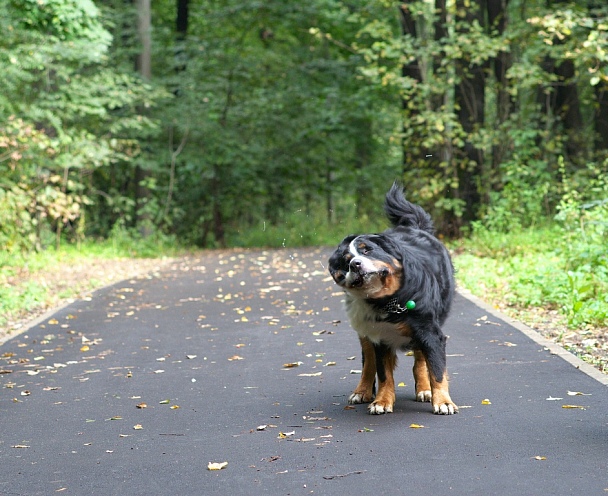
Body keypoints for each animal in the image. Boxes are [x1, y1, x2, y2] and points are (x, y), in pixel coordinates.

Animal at [328, 182, 456, 414]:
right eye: (345, 261)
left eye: (367, 251)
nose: (355, 265)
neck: (389, 300)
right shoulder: (380, 337)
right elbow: (383, 373)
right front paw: (382, 401)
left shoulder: (430, 332)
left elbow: (436, 370)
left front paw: (443, 401)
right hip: (364, 331)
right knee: (368, 363)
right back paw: (362, 391)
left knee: (420, 360)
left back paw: (424, 389)